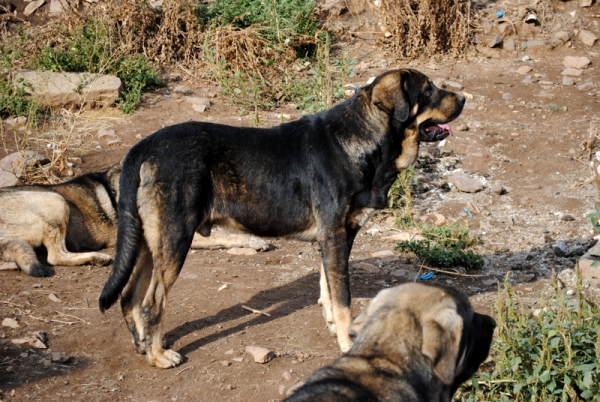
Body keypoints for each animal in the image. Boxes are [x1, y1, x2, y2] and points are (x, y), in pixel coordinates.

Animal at [97, 68, 464, 368]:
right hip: (174, 239)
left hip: (149, 242)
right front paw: (347, 343)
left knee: (129, 297)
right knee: (151, 302)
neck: (364, 138)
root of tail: (143, 147)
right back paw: (158, 355)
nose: (463, 98)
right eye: (428, 90)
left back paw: (142, 346)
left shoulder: (332, 239)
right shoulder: (336, 236)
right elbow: (343, 299)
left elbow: (328, 291)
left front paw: (334, 328)